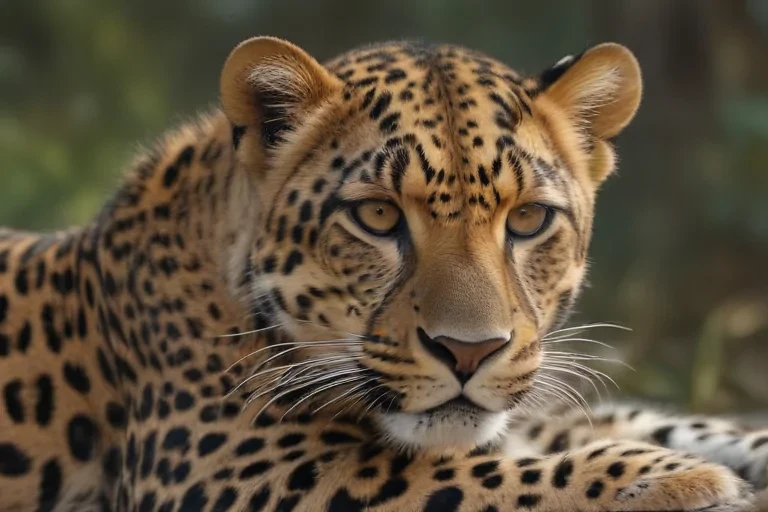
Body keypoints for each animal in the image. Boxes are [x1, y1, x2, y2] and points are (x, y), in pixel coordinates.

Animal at [1, 35, 767, 511]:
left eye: (527, 221)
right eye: (376, 216)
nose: (469, 352)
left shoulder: (527, 409)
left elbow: (651, 420)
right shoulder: (240, 468)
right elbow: (480, 478)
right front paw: (690, 482)